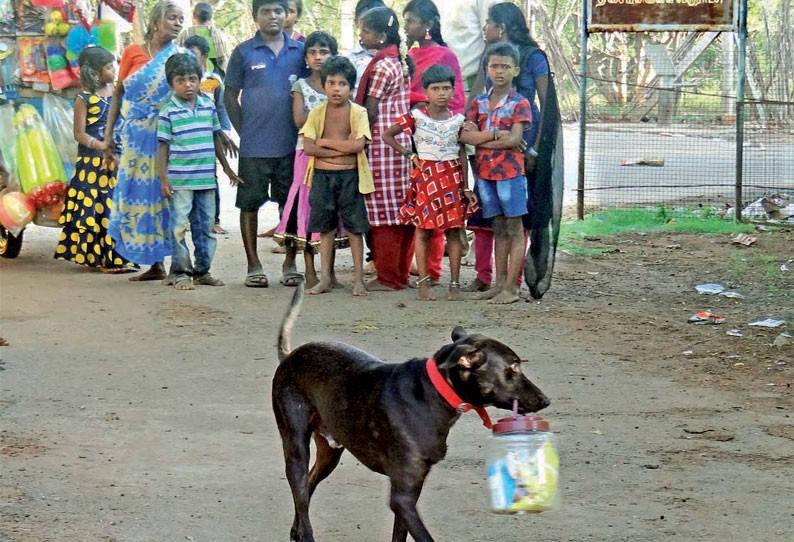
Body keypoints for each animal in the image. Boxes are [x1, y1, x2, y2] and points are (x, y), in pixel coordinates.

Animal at [270, 286, 548, 540]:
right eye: (513, 367)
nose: (545, 400)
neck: (432, 393)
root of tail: (289, 357)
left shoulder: (411, 492)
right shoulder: (402, 498)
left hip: (329, 452)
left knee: (306, 490)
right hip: (295, 446)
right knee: (302, 496)